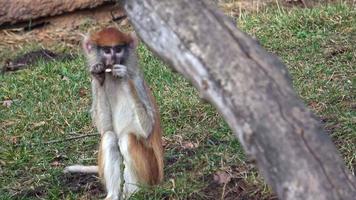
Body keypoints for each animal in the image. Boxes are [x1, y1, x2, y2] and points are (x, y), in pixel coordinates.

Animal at [64, 27, 163, 199]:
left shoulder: (137, 81)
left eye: (118, 49)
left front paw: (123, 76)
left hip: (151, 172)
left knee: (128, 138)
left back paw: (134, 193)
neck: (112, 78)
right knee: (109, 137)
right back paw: (113, 195)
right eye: (106, 50)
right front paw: (98, 74)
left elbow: (147, 128)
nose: (113, 59)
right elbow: (105, 128)